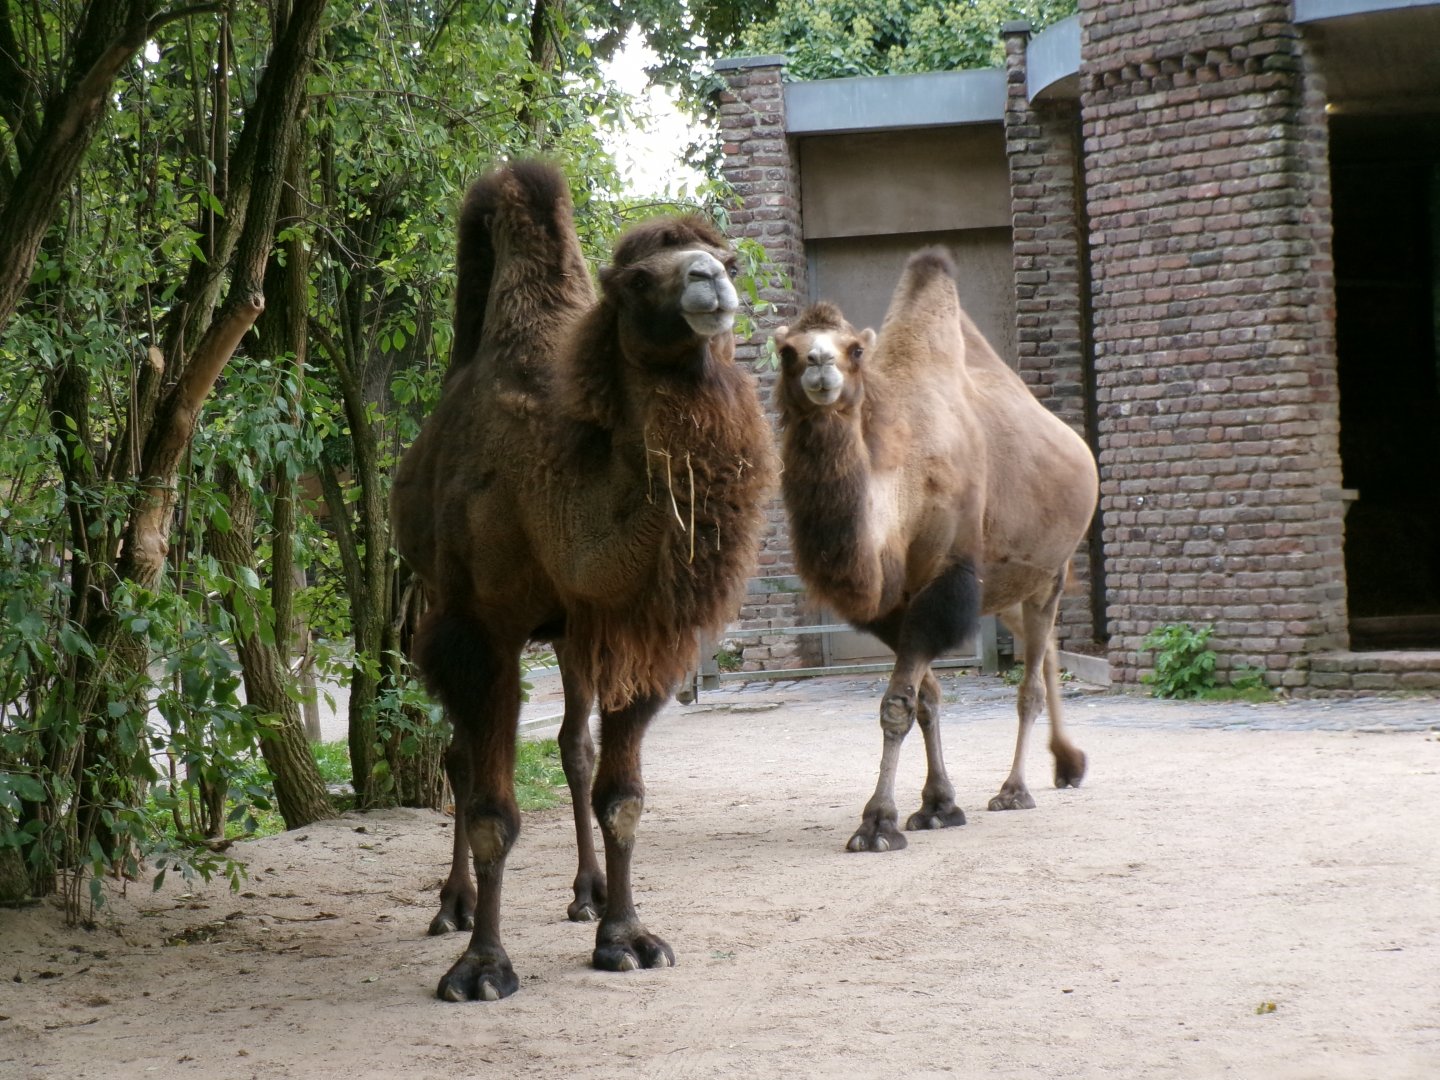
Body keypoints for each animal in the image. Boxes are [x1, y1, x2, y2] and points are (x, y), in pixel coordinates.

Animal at [392, 160, 774, 1001]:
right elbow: (492, 810)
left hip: (567, 634)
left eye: (728, 260)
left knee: (573, 746)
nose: (709, 281)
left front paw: (626, 937)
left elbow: (621, 795)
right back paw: (452, 906)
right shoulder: (481, 630)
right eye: (636, 280)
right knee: (459, 758)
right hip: (436, 598)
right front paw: (482, 968)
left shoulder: (634, 622)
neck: (555, 483)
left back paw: (588, 892)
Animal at [772, 248, 1098, 853]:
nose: (819, 366)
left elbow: (896, 705)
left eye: (854, 349)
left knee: (1030, 683)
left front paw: (877, 823)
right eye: (786, 351)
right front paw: (937, 805)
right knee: (1045, 652)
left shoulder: (946, 581)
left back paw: (1016, 789)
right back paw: (1067, 765)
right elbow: (927, 700)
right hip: (1009, 589)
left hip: (1052, 572)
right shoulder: (893, 606)